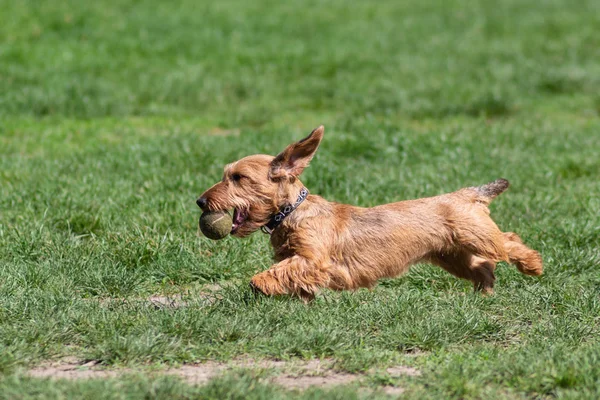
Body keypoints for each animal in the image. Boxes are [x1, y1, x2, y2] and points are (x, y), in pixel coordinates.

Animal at [198, 125, 544, 300]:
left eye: (238, 177)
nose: (200, 201)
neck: (294, 213)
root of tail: (468, 193)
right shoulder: (298, 260)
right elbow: (295, 279)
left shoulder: (312, 259)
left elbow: (281, 272)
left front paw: (260, 284)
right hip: (452, 255)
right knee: (483, 267)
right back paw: (483, 293)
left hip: (478, 236)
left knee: (509, 241)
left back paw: (533, 265)